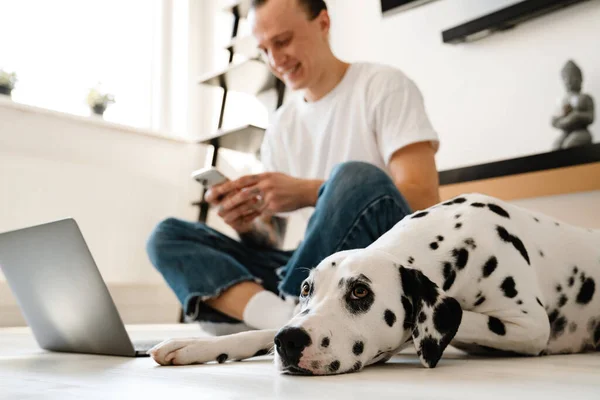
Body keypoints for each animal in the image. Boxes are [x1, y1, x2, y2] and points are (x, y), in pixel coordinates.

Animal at [148, 194, 596, 376]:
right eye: (307, 289)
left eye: (360, 292)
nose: (290, 342)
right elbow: (261, 330)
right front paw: (194, 346)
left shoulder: (530, 324)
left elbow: (454, 321)